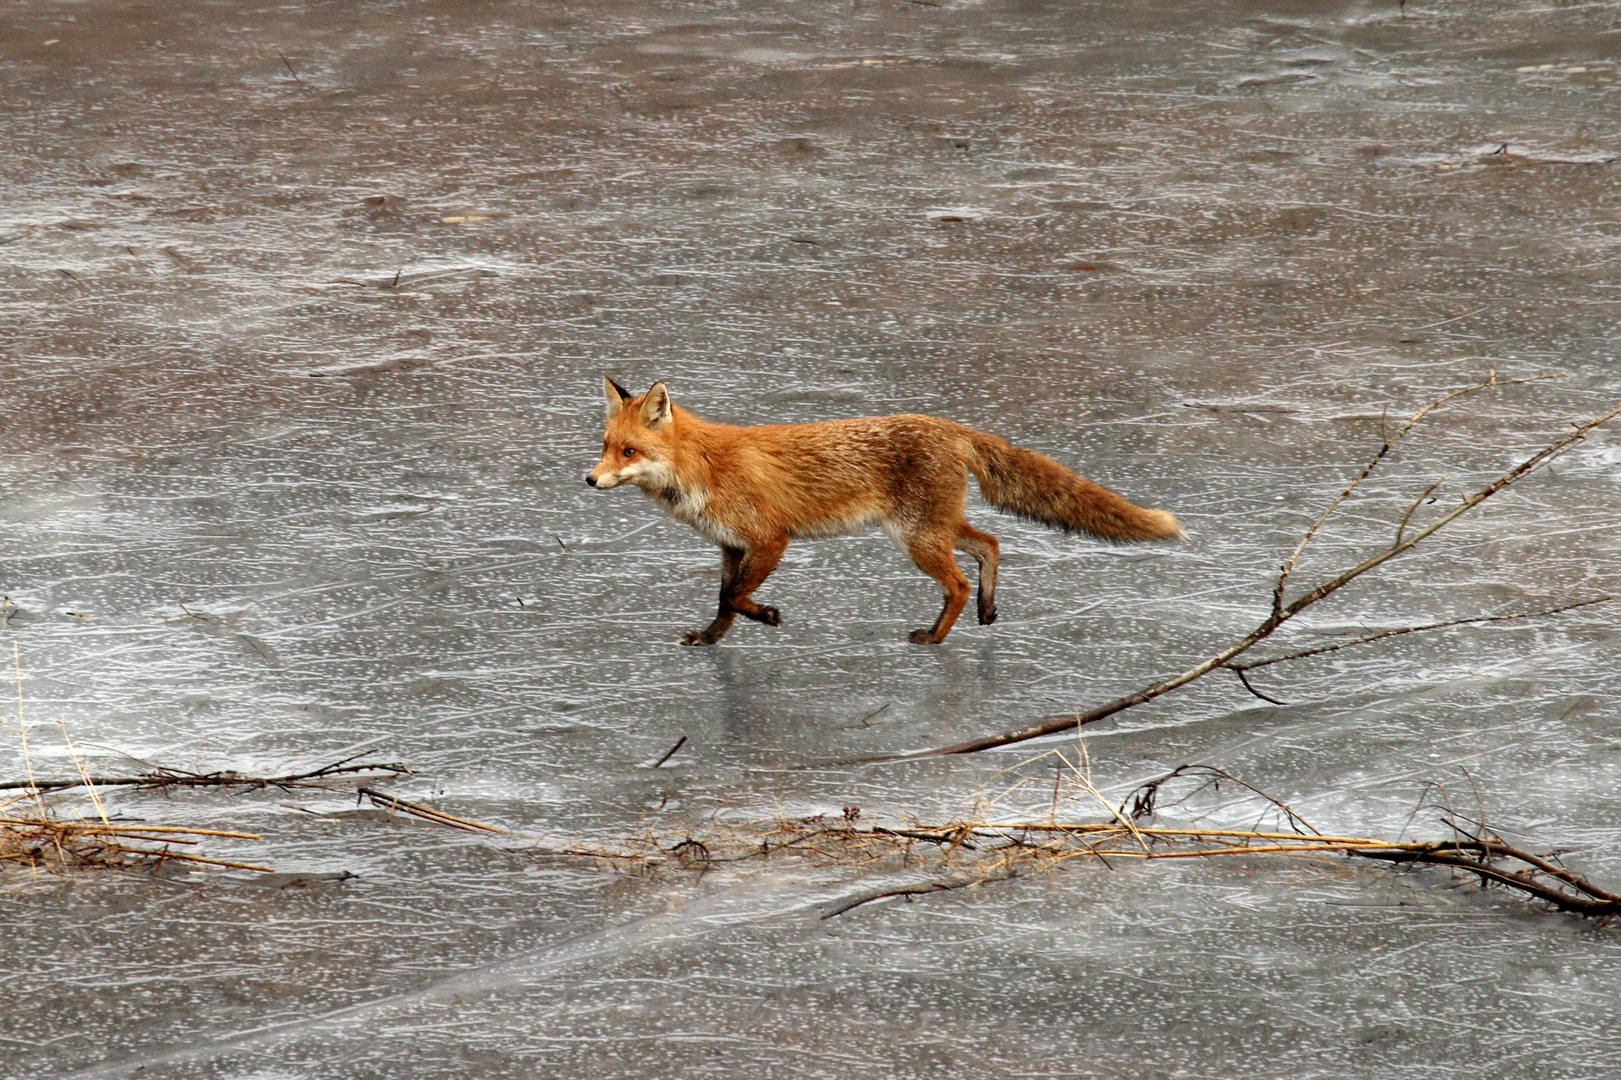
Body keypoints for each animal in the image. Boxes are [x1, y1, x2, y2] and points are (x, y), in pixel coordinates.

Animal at [583, 376, 1180, 638]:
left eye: (629, 452)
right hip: (930, 529)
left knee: (958, 582)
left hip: (916, 537)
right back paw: (986, 610)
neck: (702, 468)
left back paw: (935, 636)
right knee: (990, 543)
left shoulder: (771, 539)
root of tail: (947, 426)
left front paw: (768, 615)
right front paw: (711, 639)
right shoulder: (732, 545)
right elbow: (724, 601)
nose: (588, 479)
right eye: (605, 445)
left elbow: (736, 596)